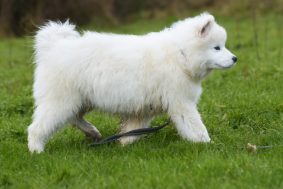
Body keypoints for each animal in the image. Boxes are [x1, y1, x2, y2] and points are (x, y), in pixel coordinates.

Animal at [28, 12, 237, 153]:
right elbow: (196, 126)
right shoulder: (181, 103)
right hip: (62, 100)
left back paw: (92, 133)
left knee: (74, 118)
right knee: (38, 127)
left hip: (79, 99)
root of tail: (54, 47)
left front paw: (124, 144)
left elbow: (134, 130)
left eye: (223, 46)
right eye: (217, 48)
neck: (181, 55)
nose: (235, 58)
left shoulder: (144, 108)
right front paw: (207, 144)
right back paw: (36, 149)